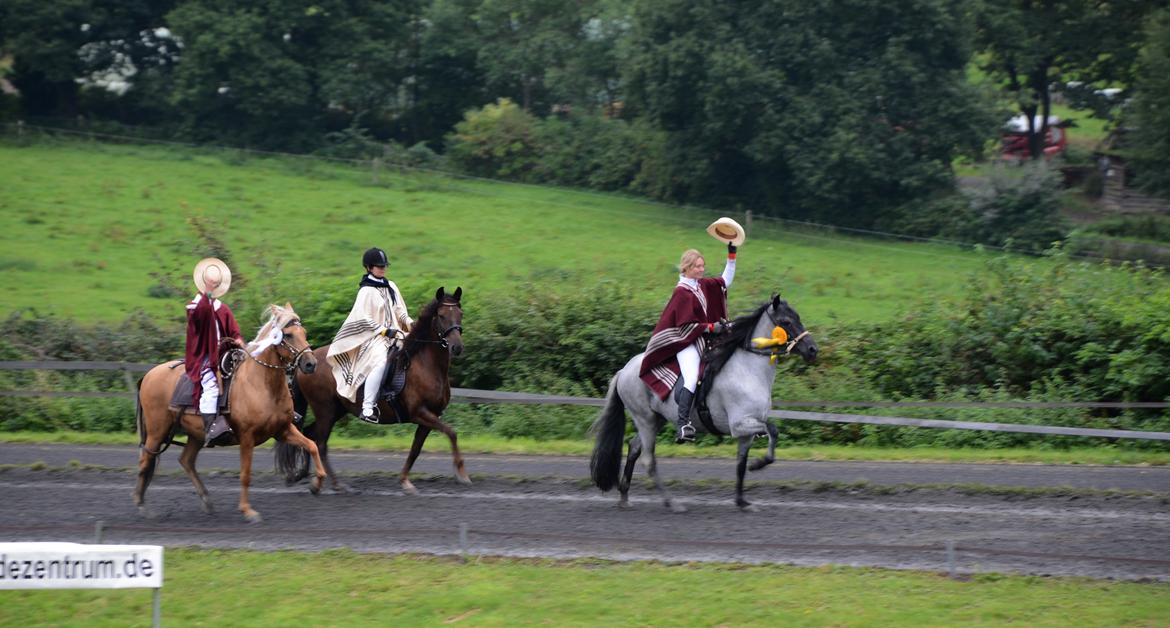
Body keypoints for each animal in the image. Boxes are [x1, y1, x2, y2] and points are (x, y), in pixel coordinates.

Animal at [133, 301, 325, 521]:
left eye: (304, 332)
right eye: (289, 335)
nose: (311, 363)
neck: (262, 384)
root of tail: (148, 375)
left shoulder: (283, 430)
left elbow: (312, 446)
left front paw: (316, 484)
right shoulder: (247, 437)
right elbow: (245, 473)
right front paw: (248, 511)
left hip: (195, 434)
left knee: (186, 461)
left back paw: (207, 501)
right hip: (157, 431)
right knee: (145, 460)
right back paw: (141, 505)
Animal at [274, 285, 465, 493]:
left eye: (460, 314)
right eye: (441, 315)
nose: (456, 347)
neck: (426, 365)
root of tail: (308, 362)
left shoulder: (429, 417)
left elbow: (416, 449)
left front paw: (405, 481)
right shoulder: (420, 413)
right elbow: (452, 433)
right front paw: (461, 472)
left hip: (336, 411)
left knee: (309, 435)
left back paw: (309, 476)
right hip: (325, 410)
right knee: (321, 442)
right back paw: (332, 484)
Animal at [589, 293, 819, 509]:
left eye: (798, 317)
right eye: (786, 322)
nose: (812, 350)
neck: (748, 370)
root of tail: (624, 370)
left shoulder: (747, 432)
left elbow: (741, 465)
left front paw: (742, 501)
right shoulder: (739, 424)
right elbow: (772, 430)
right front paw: (759, 464)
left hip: (656, 420)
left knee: (635, 448)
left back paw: (624, 497)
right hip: (645, 420)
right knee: (648, 460)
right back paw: (671, 503)